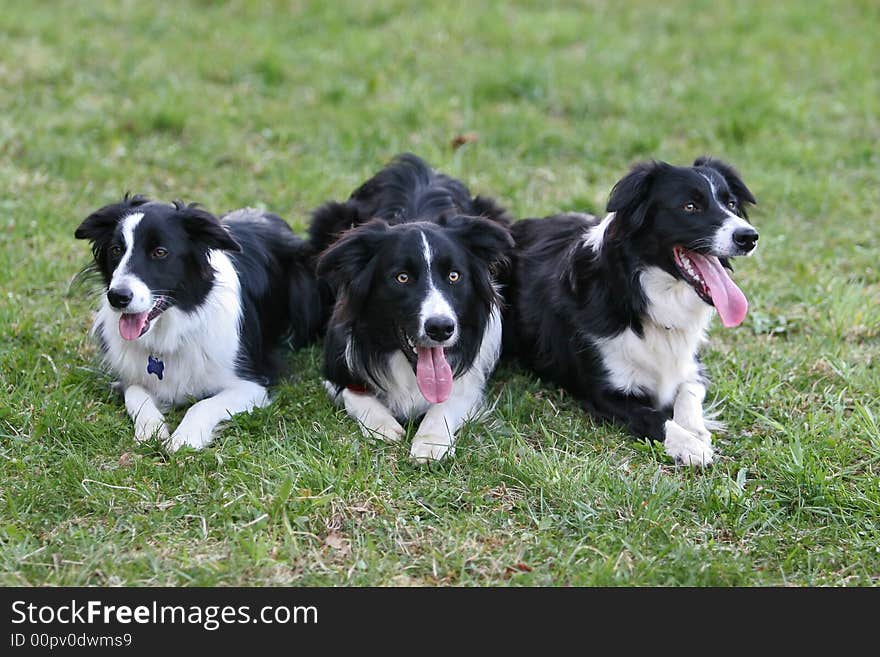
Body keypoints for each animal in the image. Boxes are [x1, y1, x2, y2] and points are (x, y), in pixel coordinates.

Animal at [312, 154, 512, 462]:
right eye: (402, 278)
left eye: (454, 276)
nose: (441, 328)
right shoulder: (337, 363)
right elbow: (353, 393)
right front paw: (384, 427)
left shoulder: (472, 375)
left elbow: (450, 398)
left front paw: (431, 442)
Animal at [506, 158, 760, 466]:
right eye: (689, 206)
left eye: (731, 204)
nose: (749, 237)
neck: (646, 298)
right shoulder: (606, 393)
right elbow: (656, 419)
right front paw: (689, 445)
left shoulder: (693, 367)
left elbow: (687, 393)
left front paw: (696, 429)